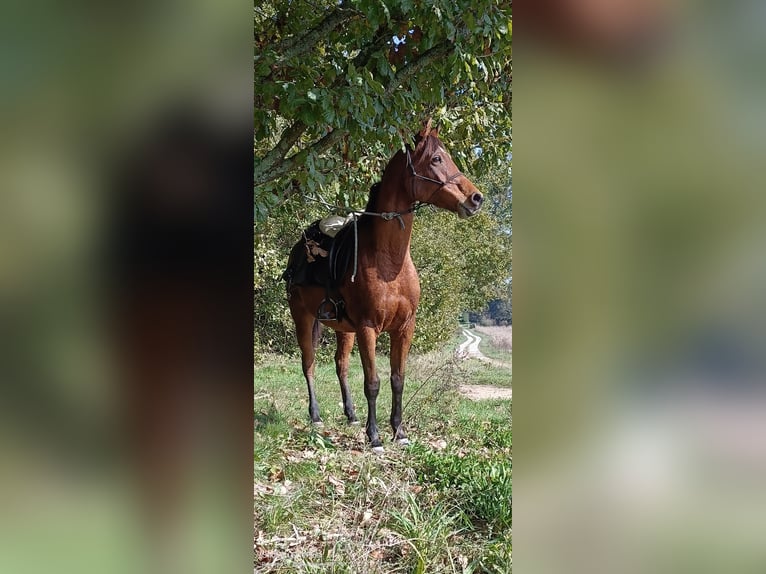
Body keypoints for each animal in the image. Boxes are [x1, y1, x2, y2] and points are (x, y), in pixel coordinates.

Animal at [288, 124, 486, 452]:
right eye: (436, 159)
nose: (475, 198)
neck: (389, 261)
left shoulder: (404, 327)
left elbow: (397, 379)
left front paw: (400, 431)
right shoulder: (368, 327)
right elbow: (373, 382)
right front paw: (375, 437)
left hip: (344, 329)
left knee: (341, 365)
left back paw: (351, 414)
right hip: (303, 318)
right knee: (309, 364)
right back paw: (315, 416)